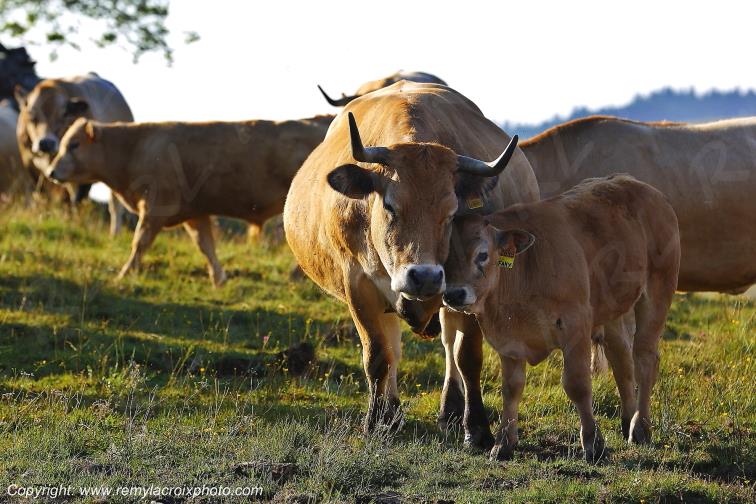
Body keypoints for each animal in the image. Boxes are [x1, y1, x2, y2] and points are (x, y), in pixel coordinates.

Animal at [15, 73, 133, 235]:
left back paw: (114, 233)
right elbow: (44, 195)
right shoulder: (31, 166)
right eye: (32, 116)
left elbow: (77, 200)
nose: (46, 143)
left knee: (114, 205)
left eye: (64, 114)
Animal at [47, 115, 333, 286]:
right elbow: (205, 245)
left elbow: (139, 242)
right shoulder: (196, 213)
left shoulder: (155, 208)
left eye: (74, 144)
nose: (51, 172)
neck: (135, 146)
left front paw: (124, 273)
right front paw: (219, 279)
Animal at [283, 81, 539, 432]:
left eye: (452, 212)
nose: (425, 276)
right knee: (392, 346)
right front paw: (376, 421)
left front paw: (477, 427)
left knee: (448, 345)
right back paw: (391, 412)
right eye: (390, 205)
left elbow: (467, 357)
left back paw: (450, 408)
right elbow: (378, 355)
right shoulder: (358, 285)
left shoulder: (471, 289)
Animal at [442, 175, 681, 462]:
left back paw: (640, 427)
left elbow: (577, 384)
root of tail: (643, 188)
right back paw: (627, 420)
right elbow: (511, 389)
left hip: (657, 293)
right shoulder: (509, 341)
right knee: (622, 358)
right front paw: (503, 443)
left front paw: (593, 443)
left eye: (482, 254)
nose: (454, 294)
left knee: (645, 359)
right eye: (445, 257)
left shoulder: (576, 325)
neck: (526, 270)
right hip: (613, 308)